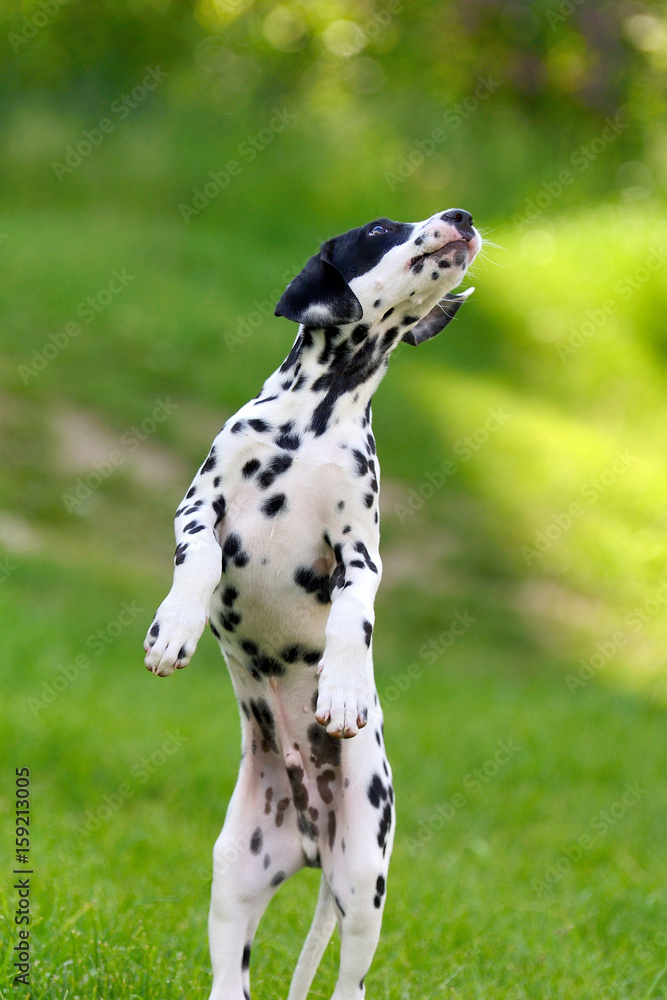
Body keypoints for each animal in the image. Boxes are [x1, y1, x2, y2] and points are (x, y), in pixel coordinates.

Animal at [144, 207, 482, 996]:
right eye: (381, 230)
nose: (460, 218)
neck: (317, 421)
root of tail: (307, 835)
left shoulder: (360, 552)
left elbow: (354, 621)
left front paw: (345, 690)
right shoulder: (201, 506)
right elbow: (198, 561)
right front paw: (174, 628)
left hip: (362, 881)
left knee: (348, 982)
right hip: (235, 874)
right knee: (230, 977)